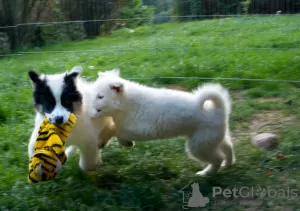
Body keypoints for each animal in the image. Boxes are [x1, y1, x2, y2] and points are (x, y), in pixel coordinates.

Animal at [90, 69, 236, 176]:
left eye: (100, 96)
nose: (89, 107)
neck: (126, 104)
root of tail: (219, 108)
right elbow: (114, 128)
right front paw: (121, 142)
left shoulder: (137, 129)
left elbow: (114, 129)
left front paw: (107, 141)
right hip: (214, 139)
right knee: (228, 148)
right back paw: (228, 163)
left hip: (199, 145)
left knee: (217, 158)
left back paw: (205, 173)